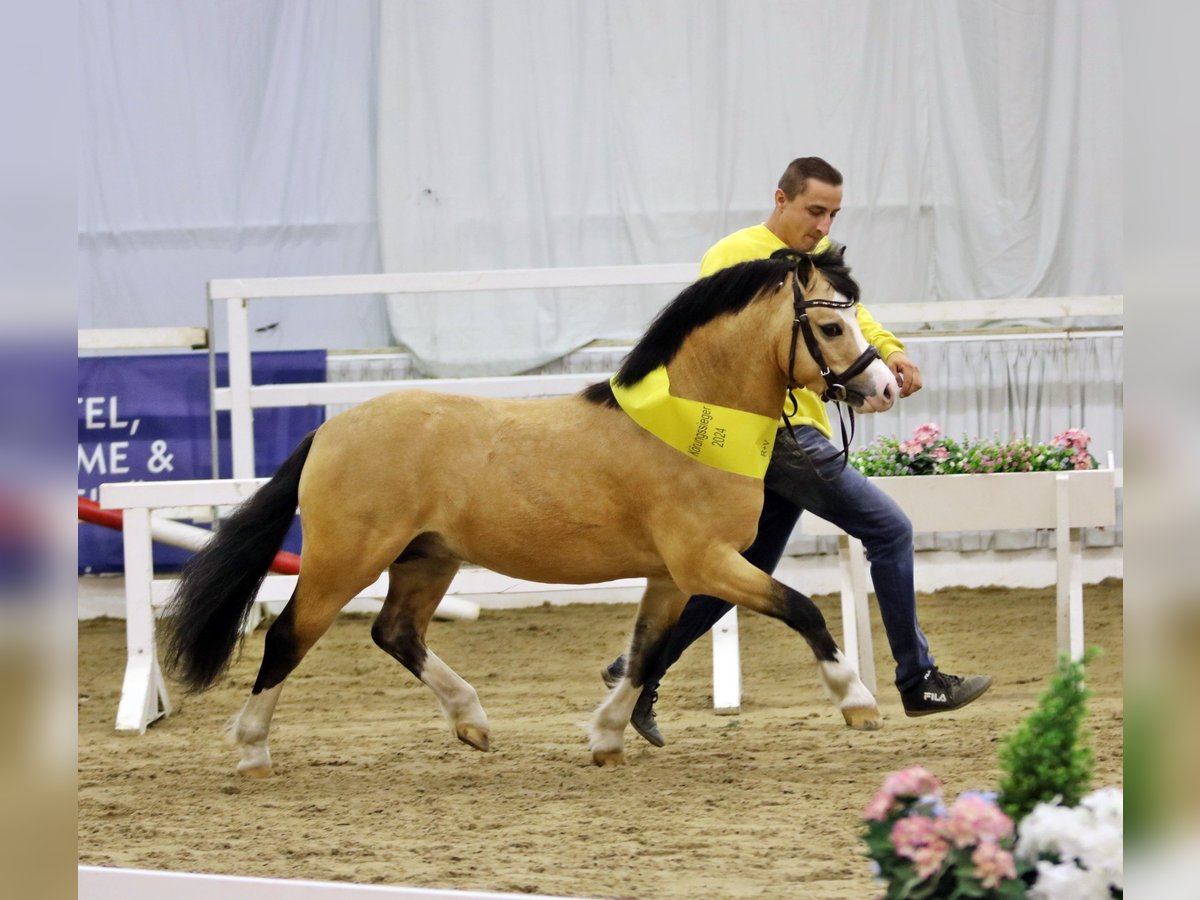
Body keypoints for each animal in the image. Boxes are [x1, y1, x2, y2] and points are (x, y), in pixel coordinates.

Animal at [169, 250, 902, 777]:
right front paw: (857, 701)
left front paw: (606, 739)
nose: (884, 387)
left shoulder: (673, 576)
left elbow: (646, 653)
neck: (692, 423)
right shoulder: (708, 562)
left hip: (427, 557)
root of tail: (329, 430)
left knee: (396, 632)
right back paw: (253, 750)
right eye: (831, 325)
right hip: (344, 559)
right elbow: (801, 610)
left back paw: (473, 721)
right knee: (288, 636)